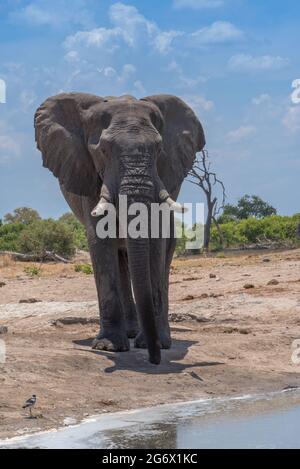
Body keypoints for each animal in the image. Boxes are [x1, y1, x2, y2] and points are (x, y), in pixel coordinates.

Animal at [34, 93, 205, 364]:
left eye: (159, 150)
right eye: (103, 150)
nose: (154, 359)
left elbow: (155, 242)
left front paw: (156, 343)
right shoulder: (89, 175)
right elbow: (100, 241)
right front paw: (109, 346)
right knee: (121, 257)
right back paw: (131, 333)